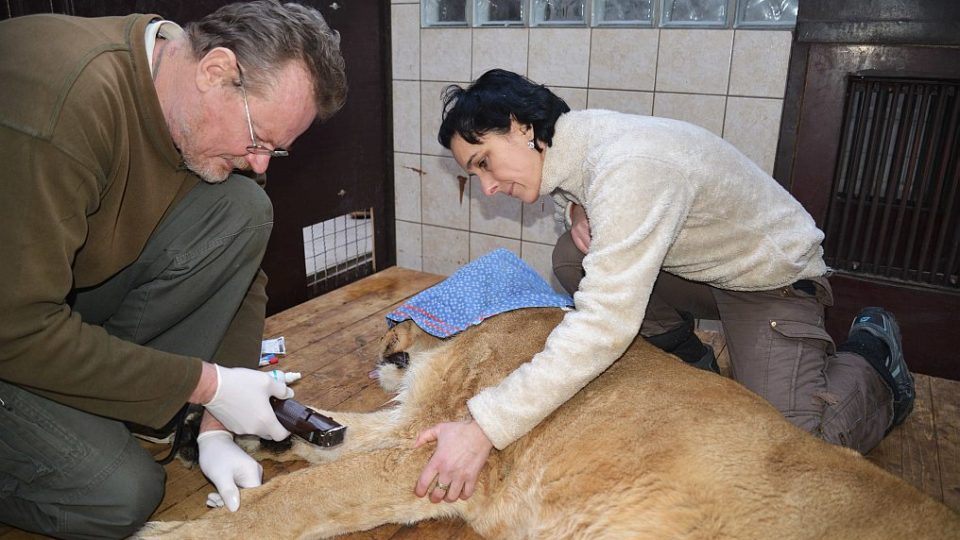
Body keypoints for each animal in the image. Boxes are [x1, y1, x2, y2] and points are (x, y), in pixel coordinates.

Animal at [141, 306, 960, 536]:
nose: (379, 349)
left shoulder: (429, 456)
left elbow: (288, 503)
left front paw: (175, 530)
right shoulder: (413, 431)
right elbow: (334, 434)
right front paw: (251, 430)